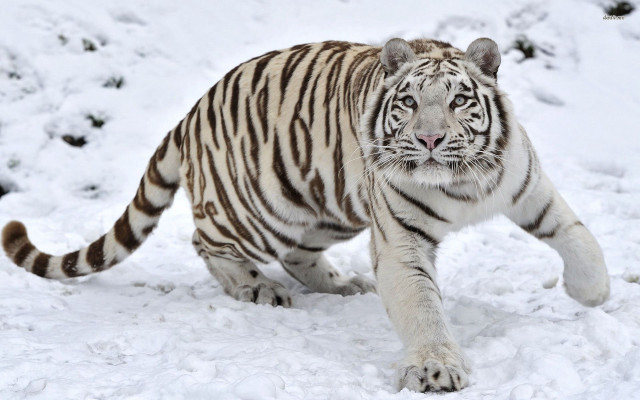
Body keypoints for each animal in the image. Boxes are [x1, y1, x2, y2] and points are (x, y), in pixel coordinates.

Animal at [1, 37, 610, 393]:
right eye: (409, 102)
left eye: (459, 100)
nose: (430, 139)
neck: (460, 182)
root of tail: (191, 112)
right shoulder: (401, 241)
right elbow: (423, 309)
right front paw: (435, 368)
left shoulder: (527, 187)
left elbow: (579, 236)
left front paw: (591, 294)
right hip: (254, 209)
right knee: (206, 242)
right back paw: (258, 288)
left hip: (327, 206)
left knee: (298, 254)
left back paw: (343, 285)